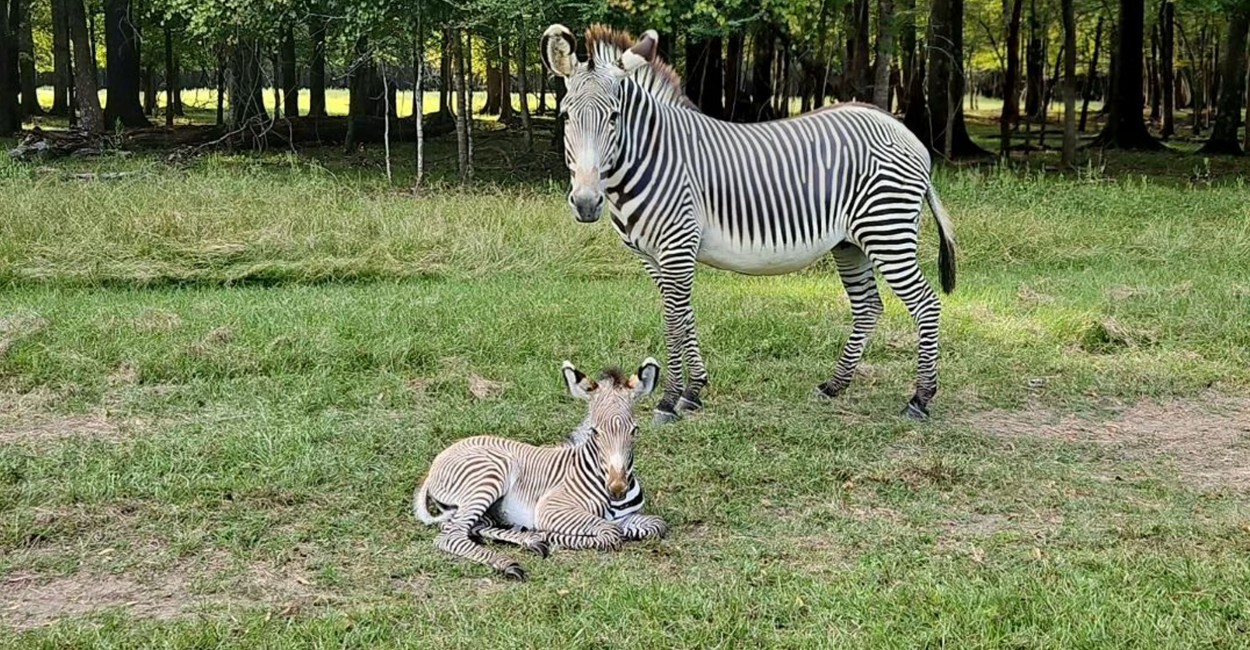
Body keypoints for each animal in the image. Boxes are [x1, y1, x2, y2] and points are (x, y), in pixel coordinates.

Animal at [410, 360, 670, 580]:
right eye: (595, 432)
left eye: (634, 430)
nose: (617, 488)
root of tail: (439, 459)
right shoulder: (551, 509)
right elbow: (609, 533)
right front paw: (550, 535)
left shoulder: (631, 517)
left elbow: (656, 525)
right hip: (491, 476)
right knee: (451, 535)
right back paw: (508, 561)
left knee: (470, 527)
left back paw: (528, 540)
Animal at [542, 25, 960, 425]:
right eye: (565, 116)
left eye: (614, 117)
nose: (586, 203)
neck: (651, 156)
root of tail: (906, 133)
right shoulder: (653, 256)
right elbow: (684, 314)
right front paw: (694, 390)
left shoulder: (677, 245)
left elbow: (673, 321)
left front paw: (669, 400)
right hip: (851, 243)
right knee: (868, 306)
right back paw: (834, 385)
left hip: (887, 230)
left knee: (926, 304)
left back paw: (920, 399)